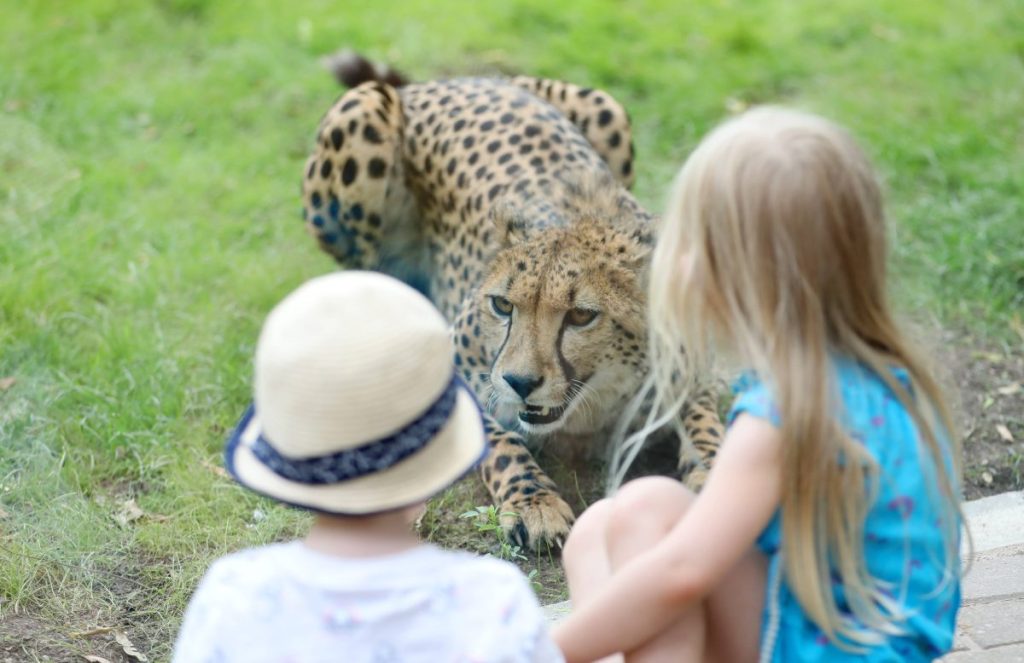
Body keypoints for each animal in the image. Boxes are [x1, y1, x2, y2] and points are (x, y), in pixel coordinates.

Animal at [299, 53, 724, 549]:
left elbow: (703, 420)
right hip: (363, 118)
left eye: (581, 315)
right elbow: (500, 440)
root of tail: (444, 84)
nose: (521, 382)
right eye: (503, 306)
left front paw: (714, 470)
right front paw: (533, 502)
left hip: (607, 110)